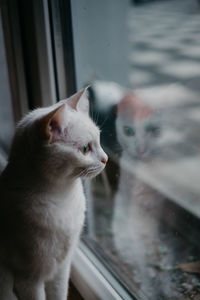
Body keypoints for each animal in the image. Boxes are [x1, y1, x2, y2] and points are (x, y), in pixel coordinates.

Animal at [0, 88, 108, 300]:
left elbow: (59, 293)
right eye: (85, 149)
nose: (106, 159)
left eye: (99, 139)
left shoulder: (62, 268)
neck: (64, 197)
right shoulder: (29, 279)